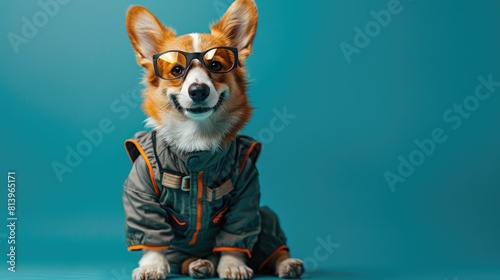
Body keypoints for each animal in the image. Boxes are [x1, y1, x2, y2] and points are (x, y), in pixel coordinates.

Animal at [125, 0, 304, 280]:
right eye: (177, 70)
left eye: (216, 66)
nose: (198, 90)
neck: (196, 138)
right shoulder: (141, 190)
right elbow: (151, 234)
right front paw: (152, 266)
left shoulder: (247, 195)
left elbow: (235, 236)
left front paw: (232, 265)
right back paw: (199, 264)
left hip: (265, 216)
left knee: (271, 246)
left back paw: (287, 264)